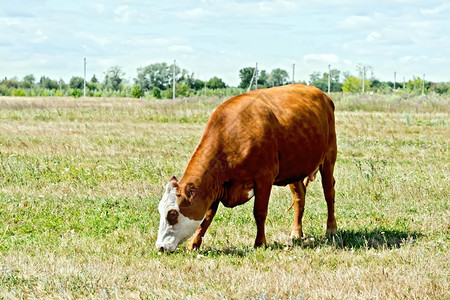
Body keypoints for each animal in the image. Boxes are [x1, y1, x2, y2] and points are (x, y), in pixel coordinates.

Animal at [156, 83, 336, 252]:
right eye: (160, 210)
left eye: (172, 213)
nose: (160, 247)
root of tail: (319, 92)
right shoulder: (215, 186)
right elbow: (207, 217)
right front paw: (194, 243)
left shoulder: (264, 178)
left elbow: (259, 212)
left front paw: (260, 243)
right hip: (295, 169)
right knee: (299, 198)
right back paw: (296, 233)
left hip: (328, 157)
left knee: (329, 193)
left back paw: (331, 229)